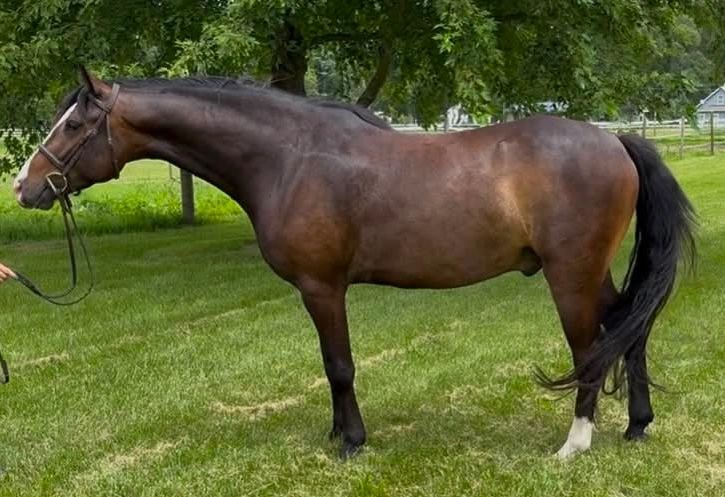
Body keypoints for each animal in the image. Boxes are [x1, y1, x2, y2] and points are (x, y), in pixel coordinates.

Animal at [13, 67, 695, 459]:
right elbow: (331, 367)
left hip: (570, 274)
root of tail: (614, 139)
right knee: (629, 330)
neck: (289, 157)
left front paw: (352, 443)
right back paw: (637, 426)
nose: (25, 186)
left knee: (591, 346)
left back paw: (575, 444)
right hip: (592, 274)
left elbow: (338, 365)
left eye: (73, 123)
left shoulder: (322, 287)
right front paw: (339, 434)